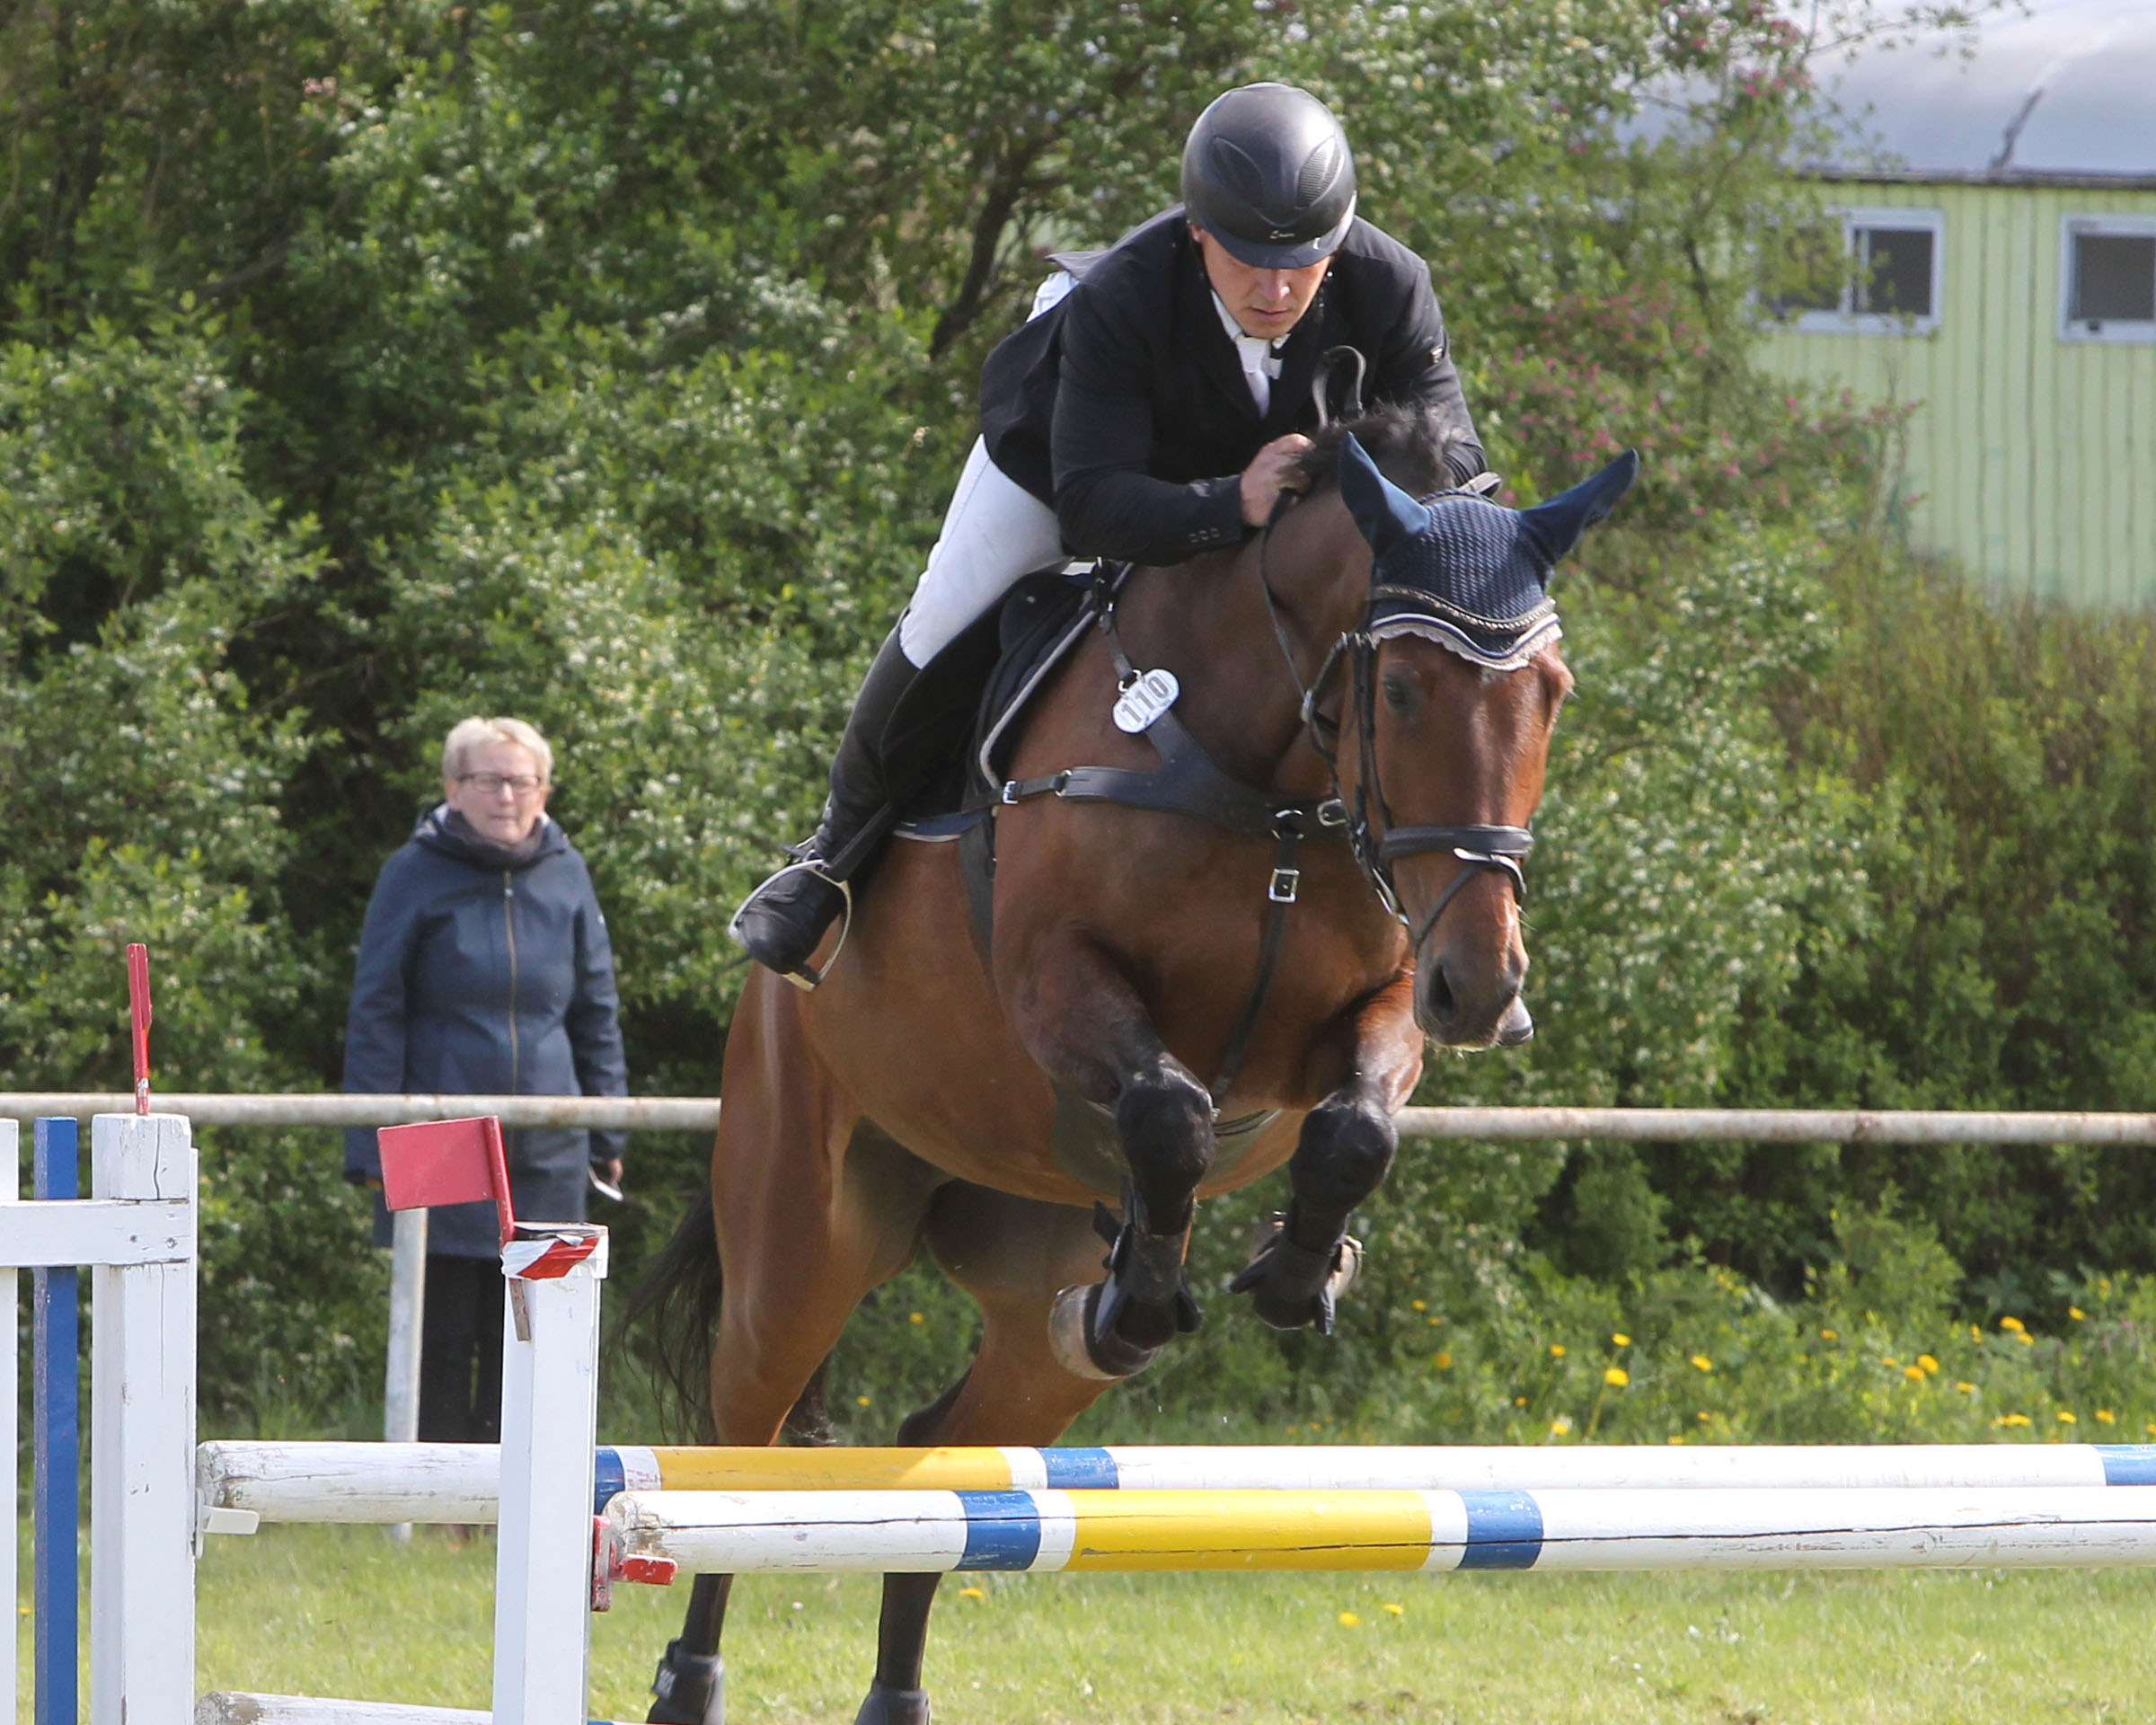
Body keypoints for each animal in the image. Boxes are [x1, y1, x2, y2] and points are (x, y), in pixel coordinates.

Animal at [633, 413, 1630, 1725]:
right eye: (1404, 688)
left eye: (1550, 695)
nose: (1486, 987)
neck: (1275, 790)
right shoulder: (1058, 980)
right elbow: (1168, 1110)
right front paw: (1167, 1286)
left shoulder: (1384, 999)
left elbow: (1352, 1128)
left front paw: (1299, 1271)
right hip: (802, 1239)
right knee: (742, 1453)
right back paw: (688, 1682)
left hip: (1023, 1291)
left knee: (952, 1449)